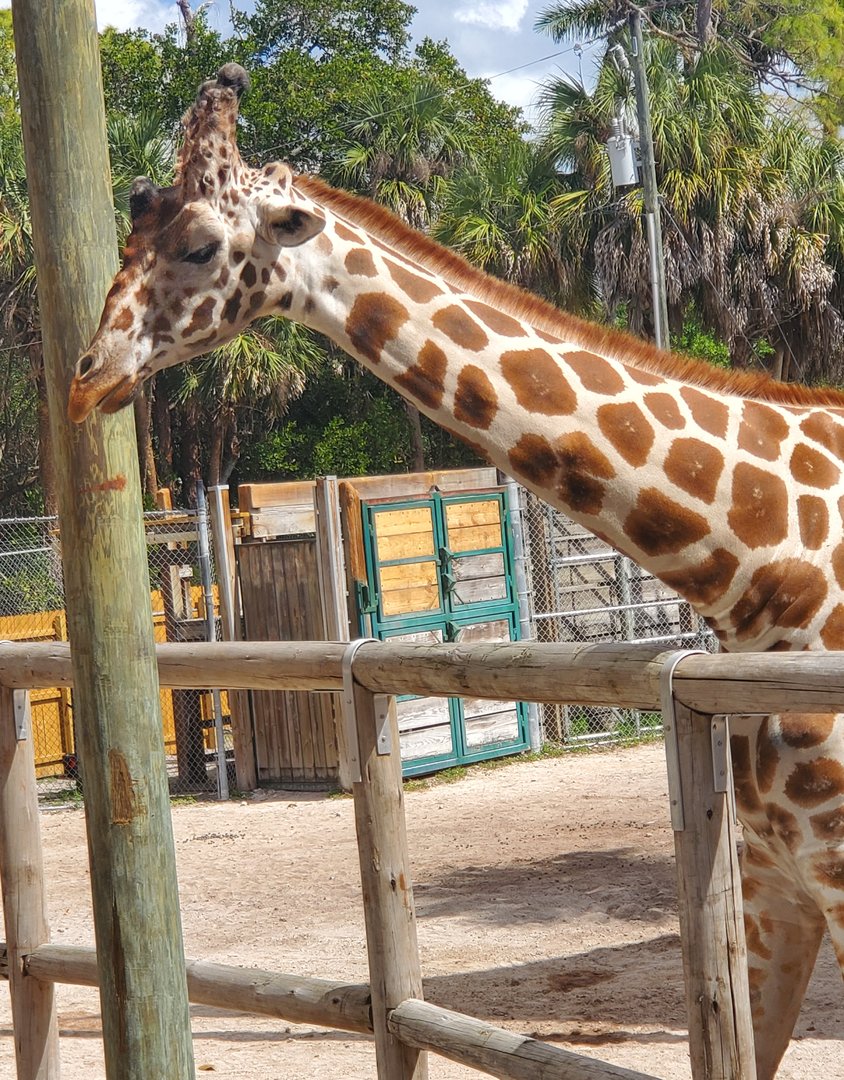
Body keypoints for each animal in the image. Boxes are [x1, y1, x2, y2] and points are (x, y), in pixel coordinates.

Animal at [69, 64, 844, 1077]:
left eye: (200, 244)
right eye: (130, 232)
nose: (86, 376)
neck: (761, 567)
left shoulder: (832, 876)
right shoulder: (771, 877)